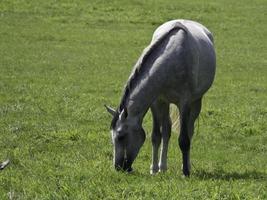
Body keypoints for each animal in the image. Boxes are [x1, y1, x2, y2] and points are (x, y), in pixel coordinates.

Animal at [105, 19, 217, 177]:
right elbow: (156, 136)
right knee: (166, 132)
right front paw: (154, 169)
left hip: (196, 102)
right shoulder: (157, 101)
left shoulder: (185, 102)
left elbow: (184, 139)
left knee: (189, 131)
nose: (118, 167)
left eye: (121, 136)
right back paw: (162, 167)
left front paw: (185, 172)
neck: (172, 59)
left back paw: (186, 165)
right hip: (165, 104)